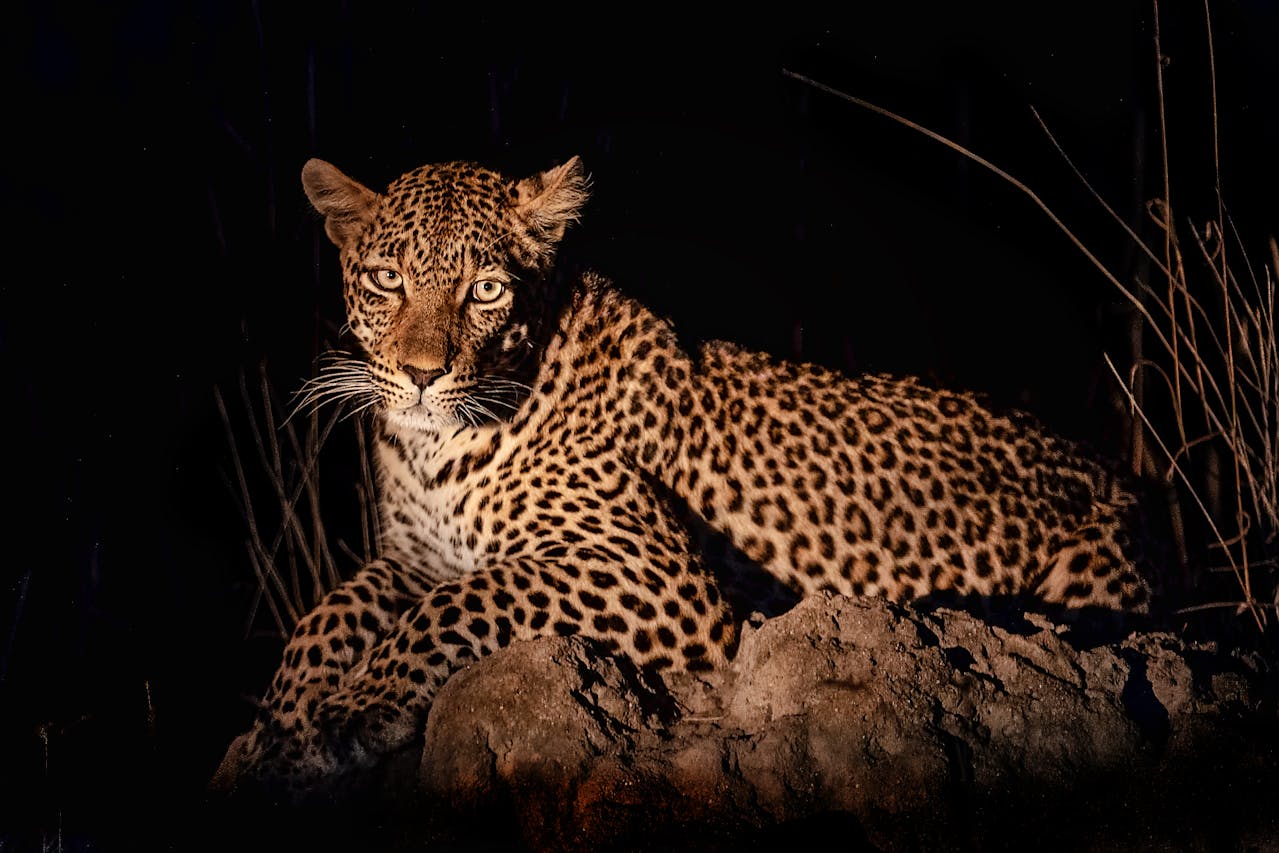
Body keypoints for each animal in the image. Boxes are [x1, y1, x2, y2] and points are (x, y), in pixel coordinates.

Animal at [212, 154, 1153, 800]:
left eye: (484, 290)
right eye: (385, 279)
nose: (419, 373)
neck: (433, 448)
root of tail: (1118, 479)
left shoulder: (654, 575)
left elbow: (461, 601)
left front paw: (349, 711)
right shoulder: (414, 554)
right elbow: (327, 612)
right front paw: (272, 733)